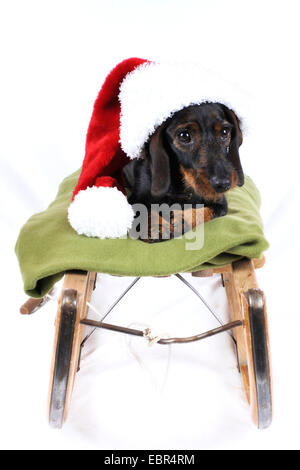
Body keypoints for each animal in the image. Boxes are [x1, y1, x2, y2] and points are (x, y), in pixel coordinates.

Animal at [122, 103, 244, 242]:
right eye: (184, 135)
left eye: (225, 132)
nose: (224, 184)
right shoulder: (134, 199)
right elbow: (142, 210)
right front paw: (155, 226)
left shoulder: (220, 203)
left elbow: (209, 212)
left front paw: (183, 219)